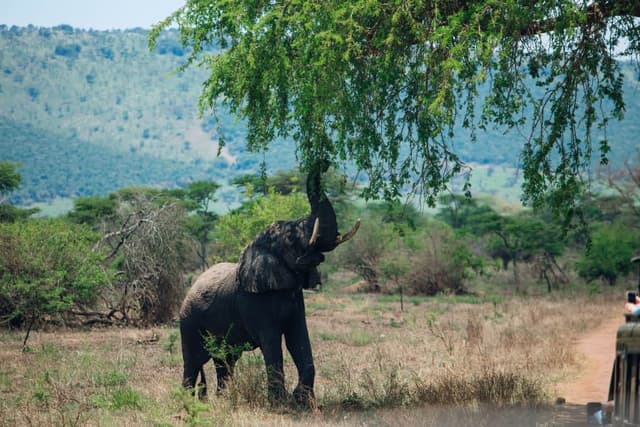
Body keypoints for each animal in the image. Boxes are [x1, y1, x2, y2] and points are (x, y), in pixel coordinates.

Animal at [179, 164, 360, 406]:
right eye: (291, 238)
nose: (325, 163)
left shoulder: (295, 298)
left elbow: (298, 338)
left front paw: (301, 401)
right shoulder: (253, 301)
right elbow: (272, 341)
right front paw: (280, 403)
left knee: (225, 361)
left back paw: (223, 398)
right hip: (188, 321)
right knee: (194, 361)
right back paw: (188, 400)